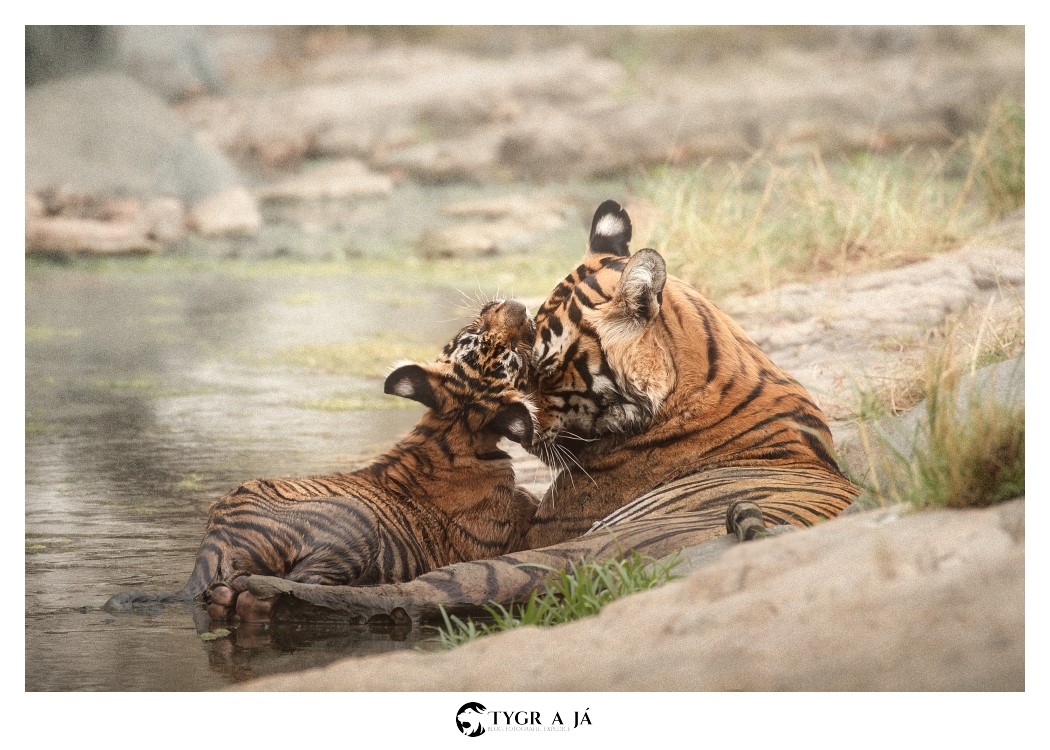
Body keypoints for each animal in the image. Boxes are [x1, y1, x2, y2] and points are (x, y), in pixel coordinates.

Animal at [104, 298, 541, 617]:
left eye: (510, 349)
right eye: (475, 333)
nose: (518, 306)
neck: (454, 430)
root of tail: (217, 535)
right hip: (357, 524)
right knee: (302, 583)